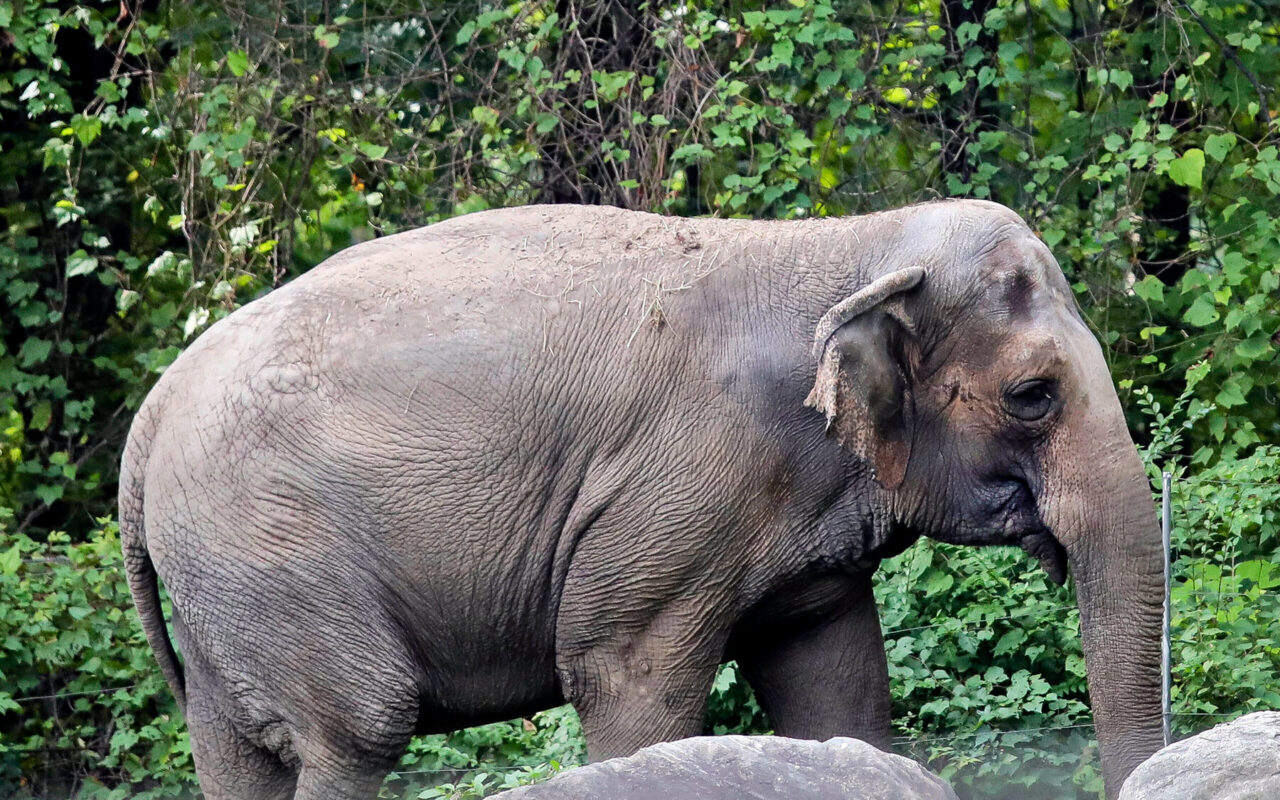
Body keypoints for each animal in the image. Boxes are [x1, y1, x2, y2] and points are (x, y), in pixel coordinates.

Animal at [119, 199, 1163, 800]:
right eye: (1033, 396)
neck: (847, 244)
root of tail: (148, 421)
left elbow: (836, 677)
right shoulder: (681, 486)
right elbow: (628, 677)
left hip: (225, 584)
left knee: (236, 753)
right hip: (273, 550)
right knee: (355, 729)